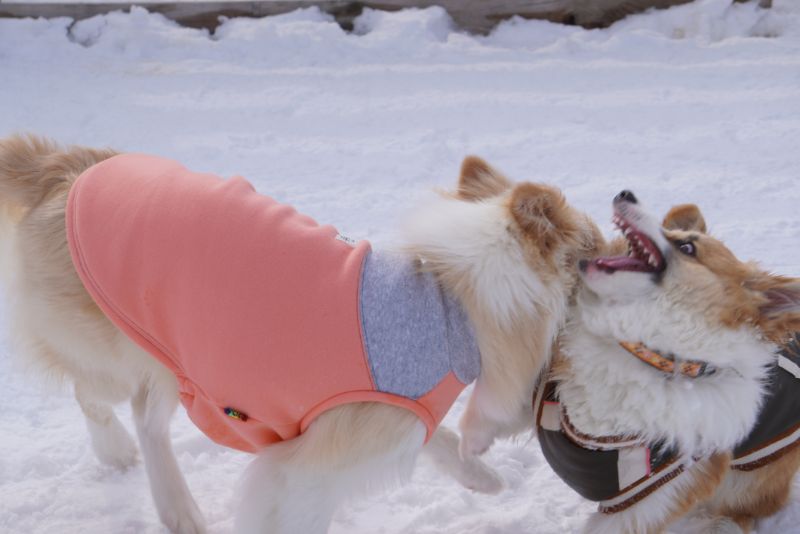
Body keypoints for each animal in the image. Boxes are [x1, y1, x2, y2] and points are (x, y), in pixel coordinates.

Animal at [0, 135, 600, 534]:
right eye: (599, 247)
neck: (450, 301)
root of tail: (67, 167)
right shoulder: (307, 464)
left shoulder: (393, 421)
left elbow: (443, 440)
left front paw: (484, 479)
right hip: (121, 345)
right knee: (97, 396)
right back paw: (122, 455)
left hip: (173, 359)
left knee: (145, 415)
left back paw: (177, 507)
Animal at [536, 192, 796, 534]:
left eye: (687, 247)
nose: (626, 193)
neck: (647, 355)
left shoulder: (651, 495)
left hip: (750, 477)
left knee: (746, 510)